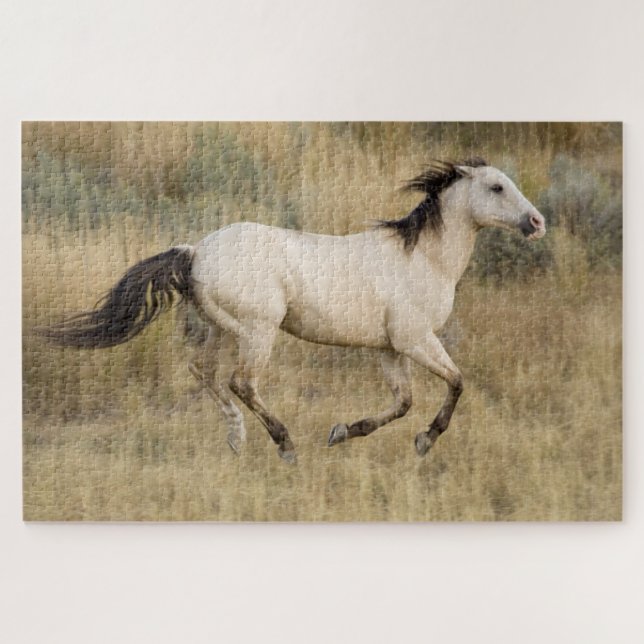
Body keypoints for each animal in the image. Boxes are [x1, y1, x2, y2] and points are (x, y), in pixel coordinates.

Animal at [41, 158, 546, 464]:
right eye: (497, 186)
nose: (538, 222)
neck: (424, 258)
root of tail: (195, 251)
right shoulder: (415, 339)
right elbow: (456, 383)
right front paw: (425, 440)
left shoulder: (389, 348)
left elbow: (402, 402)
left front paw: (343, 431)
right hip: (258, 331)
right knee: (241, 381)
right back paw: (285, 446)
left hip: (222, 329)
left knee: (203, 371)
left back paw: (236, 440)